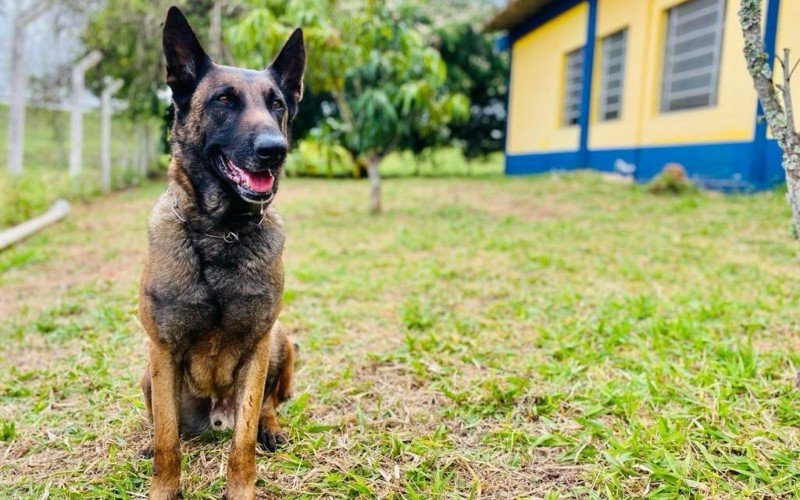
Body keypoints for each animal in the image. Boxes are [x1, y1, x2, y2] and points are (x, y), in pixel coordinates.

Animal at [138, 7, 304, 500]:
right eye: (224, 100)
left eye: (277, 105)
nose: (274, 150)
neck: (220, 233)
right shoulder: (162, 347)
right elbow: (167, 439)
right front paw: (164, 487)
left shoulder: (257, 344)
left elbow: (243, 437)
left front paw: (241, 487)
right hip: (146, 372)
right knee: (160, 422)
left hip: (280, 339)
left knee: (268, 404)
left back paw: (272, 427)